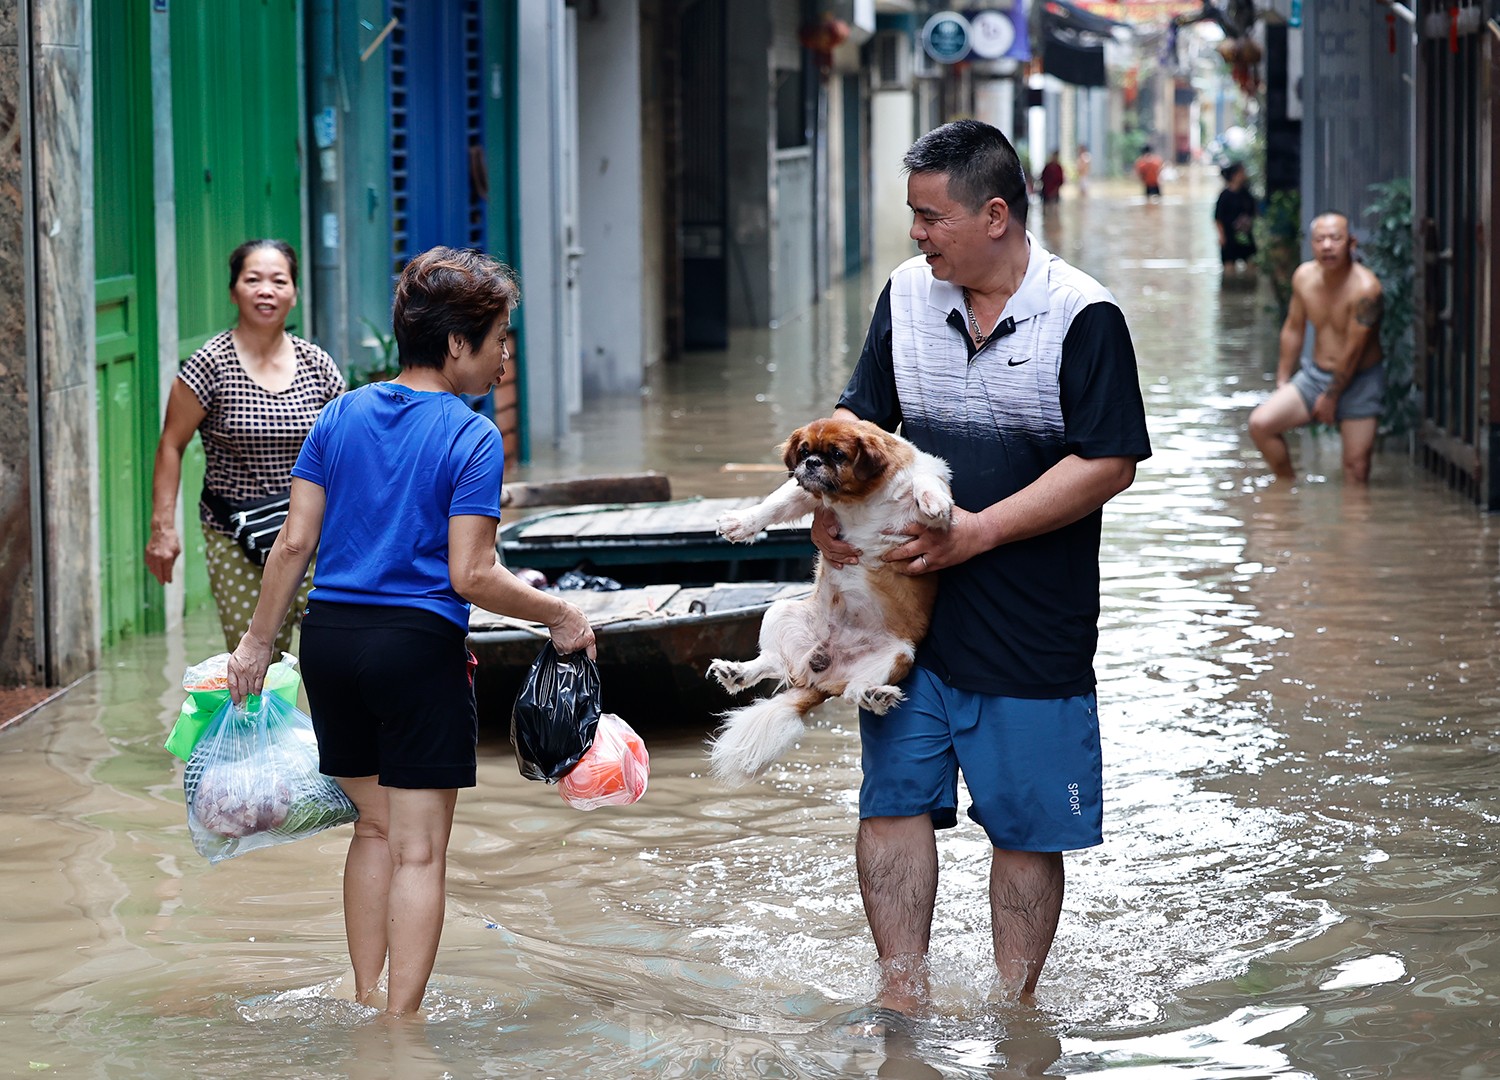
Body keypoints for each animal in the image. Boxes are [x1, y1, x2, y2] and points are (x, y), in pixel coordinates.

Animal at [702, 417, 948, 786]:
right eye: (805, 452)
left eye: (837, 454)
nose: (813, 463)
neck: (856, 497)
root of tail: (819, 675)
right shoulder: (807, 492)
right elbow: (776, 503)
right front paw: (742, 523)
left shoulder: (921, 485)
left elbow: (924, 480)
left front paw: (934, 502)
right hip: (780, 612)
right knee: (776, 663)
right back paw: (738, 672)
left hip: (898, 655)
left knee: (854, 691)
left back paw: (875, 695)